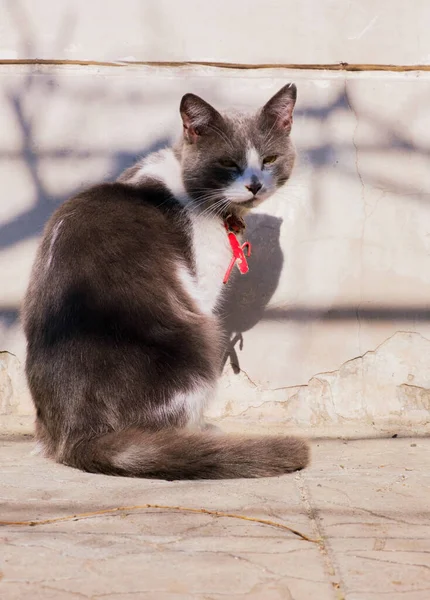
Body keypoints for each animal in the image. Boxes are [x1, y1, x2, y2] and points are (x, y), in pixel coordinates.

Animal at [21, 83, 310, 478]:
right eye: (227, 163)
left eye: (269, 159)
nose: (254, 185)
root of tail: (76, 434)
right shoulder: (201, 289)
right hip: (199, 336)